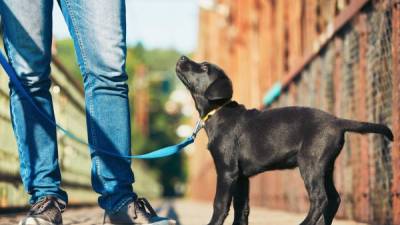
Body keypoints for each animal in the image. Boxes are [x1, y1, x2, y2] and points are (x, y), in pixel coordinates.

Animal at [176, 55, 394, 225]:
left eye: (204, 67)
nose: (182, 58)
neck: (218, 111)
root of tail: (337, 121)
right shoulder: (242, 176)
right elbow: (242, 208)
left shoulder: (227, 171)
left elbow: (220, 204)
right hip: (326, 166)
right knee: (334, 199)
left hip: (310, 163)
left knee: (320, 198)